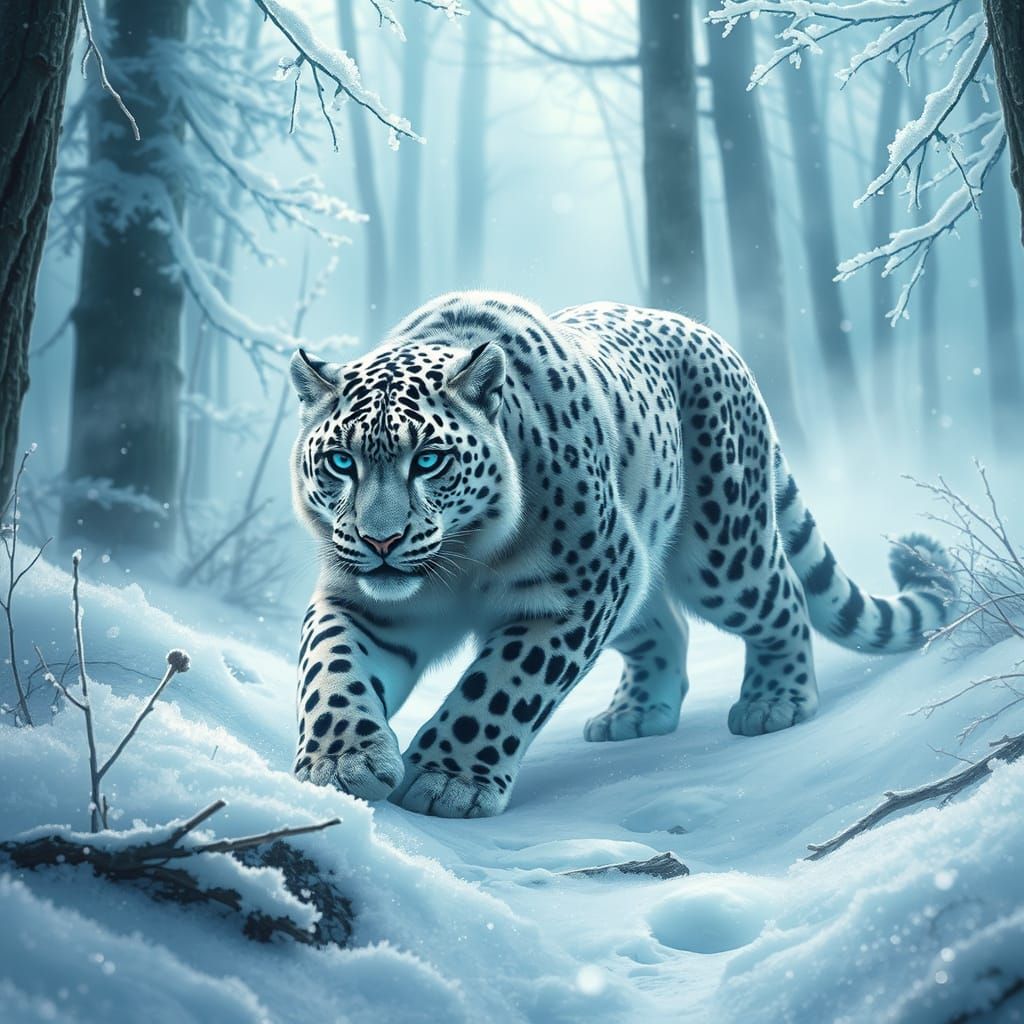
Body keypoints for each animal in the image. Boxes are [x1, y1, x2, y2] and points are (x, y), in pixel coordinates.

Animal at [288, 291, 954, 818]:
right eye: (341, 461)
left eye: (427, 460)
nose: (380, 542)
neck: (461, 564)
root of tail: (705, 332)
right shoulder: (361, 603)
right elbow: (331, 671)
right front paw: (342, 763)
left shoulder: (578, 591)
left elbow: (501, 685)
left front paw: (446, 780)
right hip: (638, 578)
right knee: (666, 628)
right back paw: (634, 715)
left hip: (721, 553)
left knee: (782, 597)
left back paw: (775, 702)